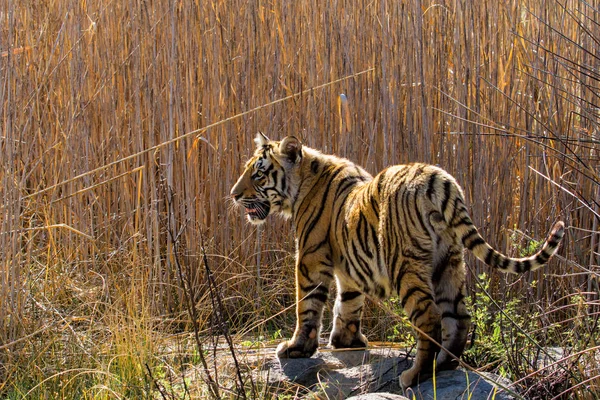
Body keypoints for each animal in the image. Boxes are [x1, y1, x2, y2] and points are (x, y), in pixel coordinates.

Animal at [229, 134, 564, 388]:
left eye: (258, 174)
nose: (233, 195)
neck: (302, 184)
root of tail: (438, 179)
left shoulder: (310, 258)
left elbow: (308, 306)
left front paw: (297, 348)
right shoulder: (348, 265)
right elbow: (348, 302)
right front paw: (346, 341)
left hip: (406, 264)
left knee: (429, 318)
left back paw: (414, 376)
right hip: (449, 262)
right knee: (459, 317)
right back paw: (443, 366)